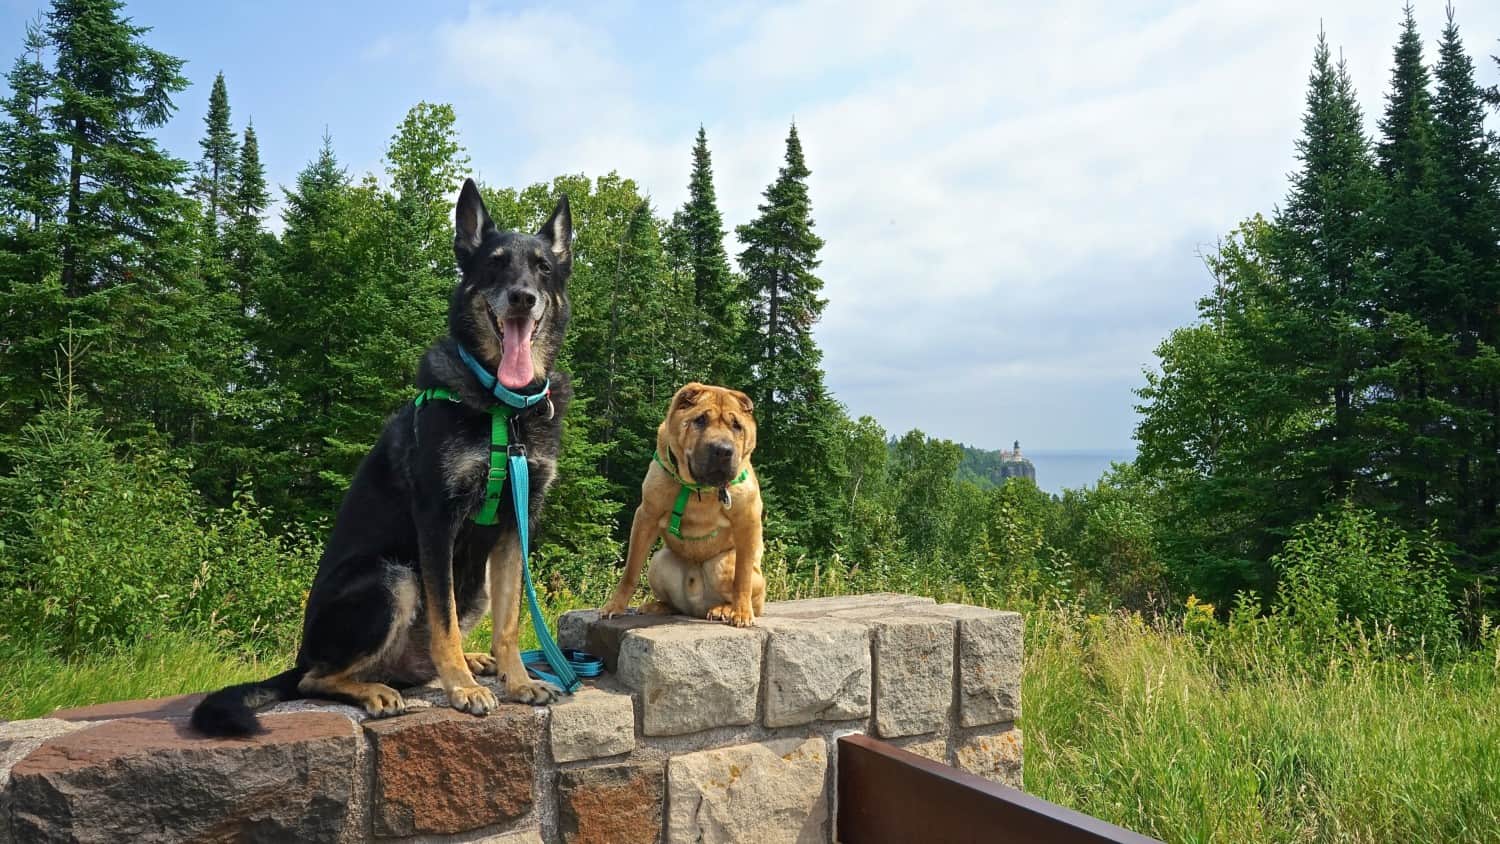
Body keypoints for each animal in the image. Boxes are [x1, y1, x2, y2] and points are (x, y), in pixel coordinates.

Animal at [192, 181, 573, 737]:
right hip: (392, 578)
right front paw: (462, 690)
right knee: (318, 678)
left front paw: (518, 681)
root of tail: (300, 657)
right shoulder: (437, 521)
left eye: (543, 268)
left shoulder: (513, 528)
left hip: (472, 584)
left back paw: (470, 664)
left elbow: (508, 623)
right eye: (496, 264)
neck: (503, 408)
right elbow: (443, 621)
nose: (522, 297)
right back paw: (379, 689)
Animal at [597, 383, 762, 626]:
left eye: (737, 425)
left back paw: (723, 609)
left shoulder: (747, 520)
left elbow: (743, 576)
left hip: (723, 564)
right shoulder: (647, 514)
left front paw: (741, 613)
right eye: (700, 420)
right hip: (658, 561)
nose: (723, 450)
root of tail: (695, 610)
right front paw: (614, 606)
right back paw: (658, 606)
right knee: (672, 600)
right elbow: (630, 571)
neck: (697, 490)